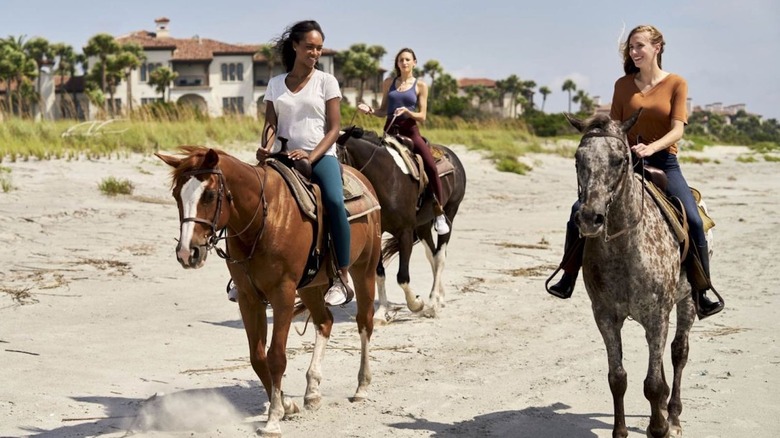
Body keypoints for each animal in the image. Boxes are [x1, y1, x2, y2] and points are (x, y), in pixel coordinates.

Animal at [155, 148, 380, 438]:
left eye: (210, 195)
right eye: (176, 195)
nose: (187, 252)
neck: (263, 219)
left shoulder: (282, 295)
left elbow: (276, 357)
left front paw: (273, 420)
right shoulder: (249, 299)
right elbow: (258, 357)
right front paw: (285, 405)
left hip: (364, 270)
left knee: (364, 322)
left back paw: (362, 386)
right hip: (310, 287)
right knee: (325, 322)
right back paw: (313, 391)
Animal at [336, 126, 470, 318]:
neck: (386, 177)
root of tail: (452, 155)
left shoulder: (405, 232)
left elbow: (402, 277)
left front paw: (416, 304)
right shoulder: (379, 232)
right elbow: (379, 273)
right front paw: (381, 313)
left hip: (450, 212)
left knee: (440, 256)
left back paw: (433, 303)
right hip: (422, 225)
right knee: (432, 255)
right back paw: (439, 297)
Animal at [568, 111, 700, 436]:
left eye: (620, 159)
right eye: (578, 158)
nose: (589, 218)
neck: (625, 247)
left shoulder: (657, 315)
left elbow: (652, 384)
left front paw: (660, 427)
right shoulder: (605, 316)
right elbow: (617, 378)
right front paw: (621, 431)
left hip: (686, 302)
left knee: (679, 352)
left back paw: (673, 417)